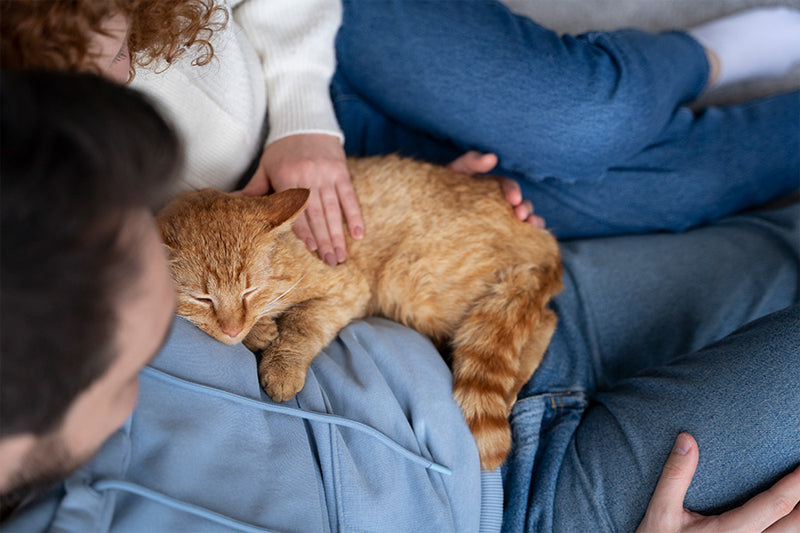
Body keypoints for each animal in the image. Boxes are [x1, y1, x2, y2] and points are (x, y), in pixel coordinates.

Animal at [153, 153, 560, 466]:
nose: (232, 329)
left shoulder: (349, 290)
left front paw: (280, 365)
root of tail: (548, 244)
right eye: (202, 299)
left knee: (545, 319)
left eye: (249, 290)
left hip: (407, 282)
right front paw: (260, 331)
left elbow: (303, 324)